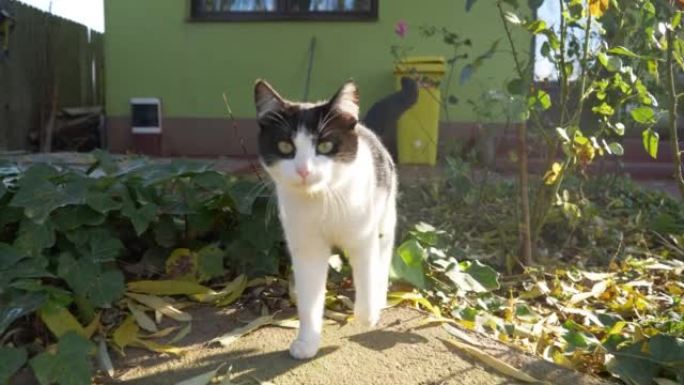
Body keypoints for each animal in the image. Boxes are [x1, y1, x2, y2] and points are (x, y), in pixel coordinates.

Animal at [254, 79, 398, 358]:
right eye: (285, 147)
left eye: (325, 146)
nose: (304, 170)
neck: (322, 199)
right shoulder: (305, 245)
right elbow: (309, 295)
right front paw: (307, 342)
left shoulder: (363, 233)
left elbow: (366, 268)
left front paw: (367, 314)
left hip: (387, 210)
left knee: (383, 251)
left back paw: (378, 297)